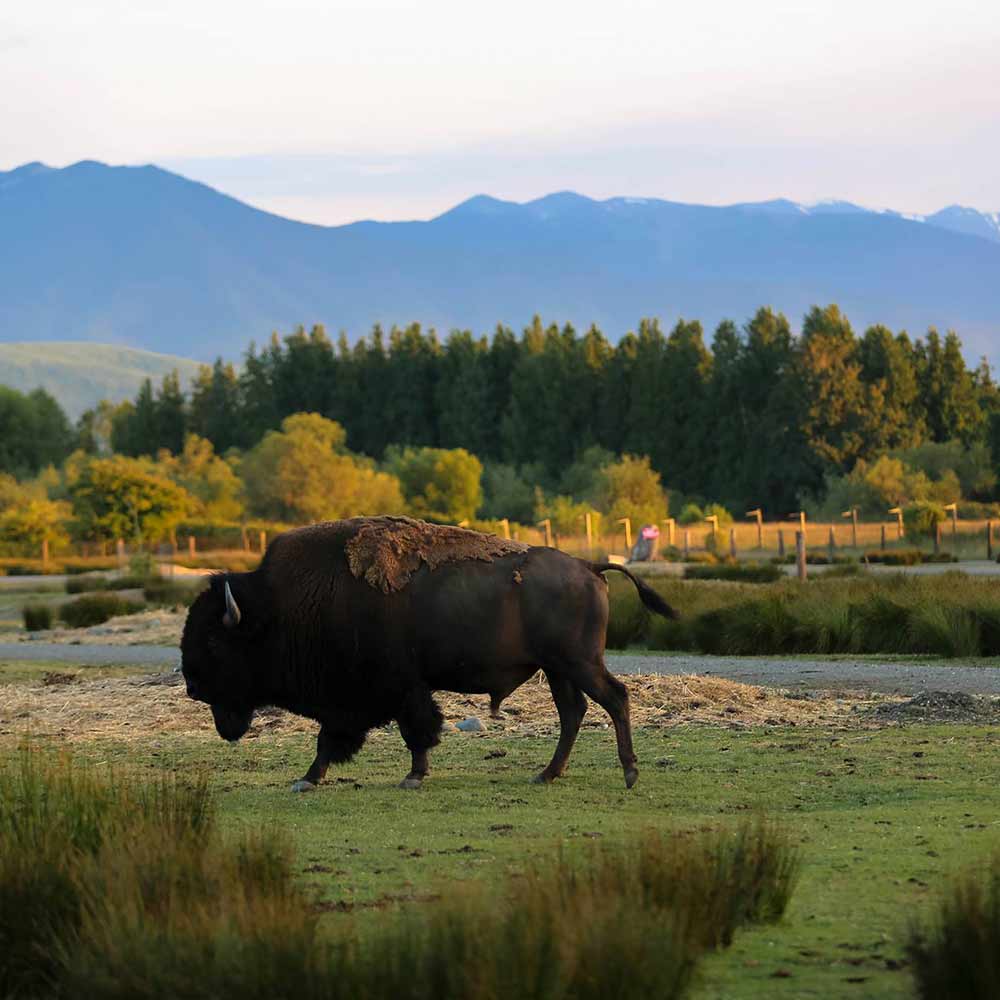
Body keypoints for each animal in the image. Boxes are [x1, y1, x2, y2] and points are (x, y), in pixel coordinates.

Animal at [182, 516, 680, 788]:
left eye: (214, 642)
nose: (191, 685)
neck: (279, 607)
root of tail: (589, 566)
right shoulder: (357, 699)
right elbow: (334, 740)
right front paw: (308, 778)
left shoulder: (396, 689)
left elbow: (412, 731)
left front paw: (413, 776)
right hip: (558, 669)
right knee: (574, 712)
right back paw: (547, 774)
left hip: (578, 663)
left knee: (614, 698)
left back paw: (629, 773)